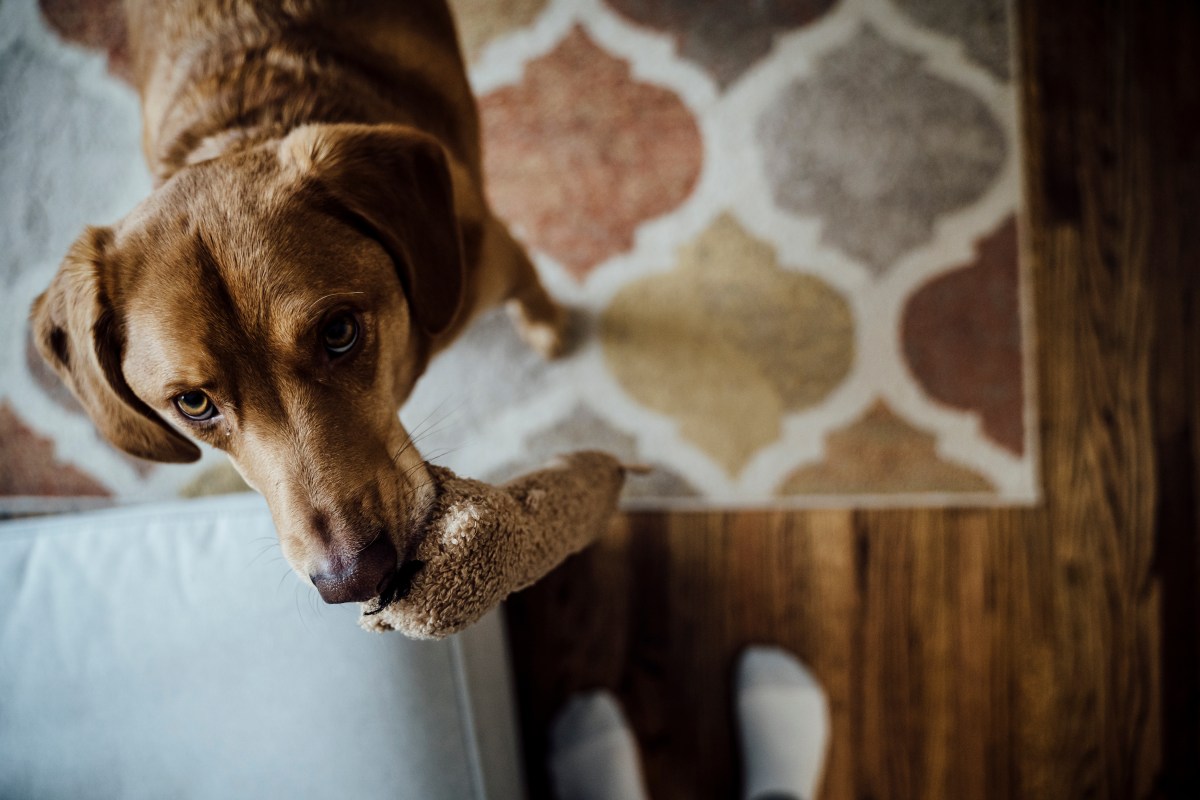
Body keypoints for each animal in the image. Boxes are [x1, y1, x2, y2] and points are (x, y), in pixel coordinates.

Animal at [29, 0, 566, 604]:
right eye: (192, 403)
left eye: (339, 332)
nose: (354, 579)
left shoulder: (500, 258)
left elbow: (534, 295)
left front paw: (550, 330)